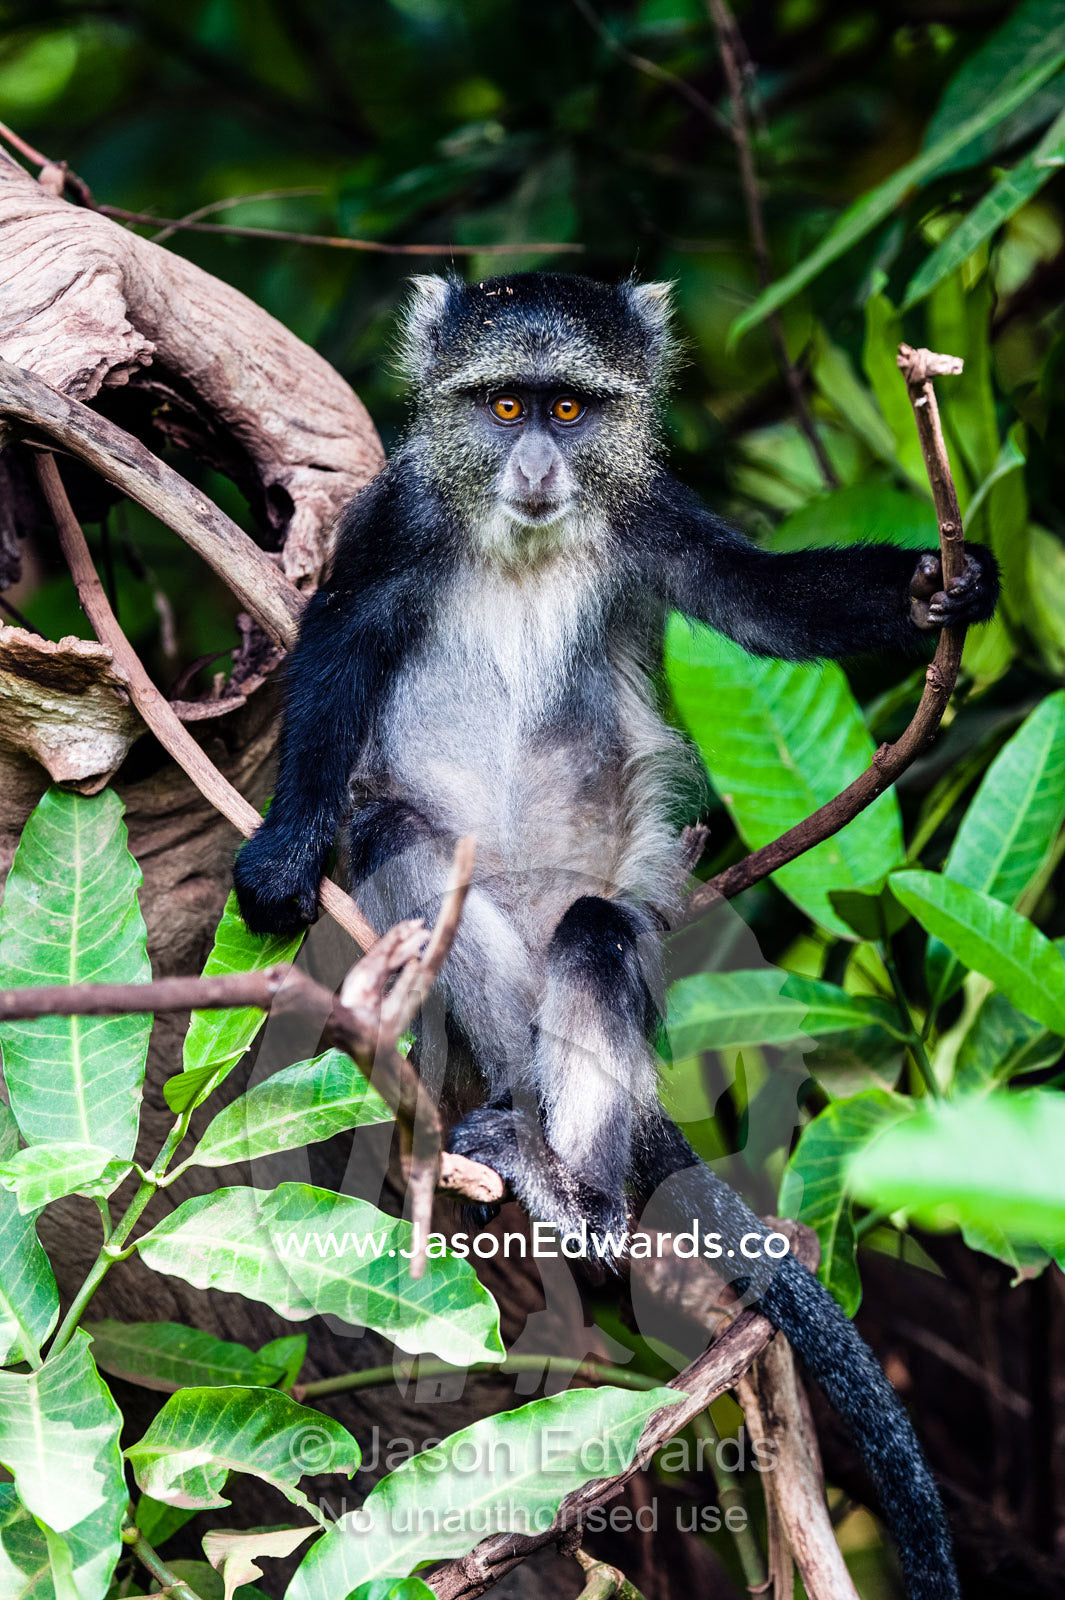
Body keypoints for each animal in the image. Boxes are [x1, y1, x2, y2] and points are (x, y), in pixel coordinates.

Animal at [235, 271, 997, 1599]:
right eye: (503, 405)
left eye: (572, 409)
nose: (539, 463)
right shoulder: (391, 524)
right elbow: (337, 649)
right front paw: (284, 850)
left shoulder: (655, 516)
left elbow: (759, 599)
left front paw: (927, 590)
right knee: (409, 850)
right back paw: (518, 1118)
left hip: (618, 925)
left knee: (595, 937)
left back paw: (578, 1190)